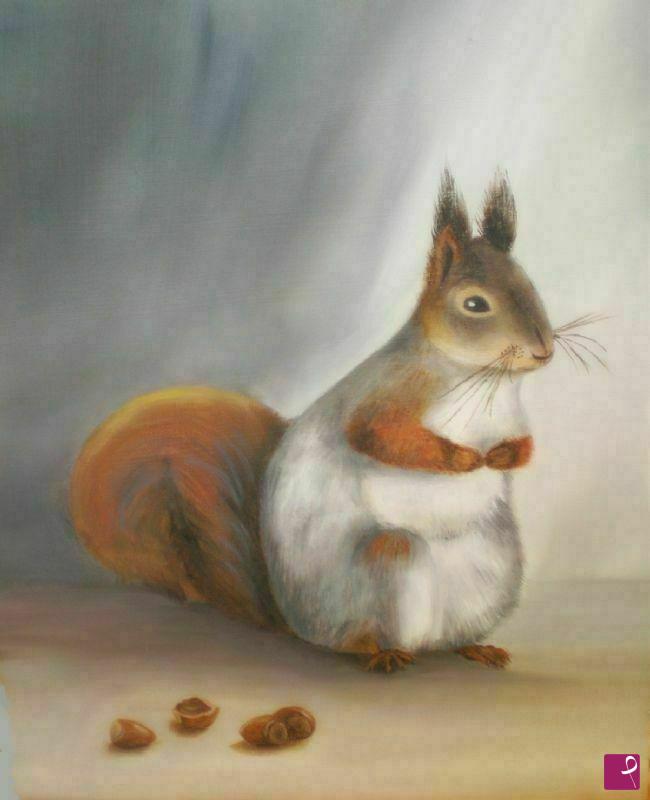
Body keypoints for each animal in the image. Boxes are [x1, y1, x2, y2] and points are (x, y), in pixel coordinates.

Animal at [70, 170, 554, 672]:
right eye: (475, 304)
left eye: (529, 284)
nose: (545, 349)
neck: (482, 377)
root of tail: (293, 623)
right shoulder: (385, 396)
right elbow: (380, 436)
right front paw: (462, 458)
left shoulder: (513, 418)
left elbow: (525, 446)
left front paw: (502, 456)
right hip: (387, 564)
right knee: (361, 633)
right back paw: (383, 654)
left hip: (494, 567)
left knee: (449, 636)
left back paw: (475, 646)